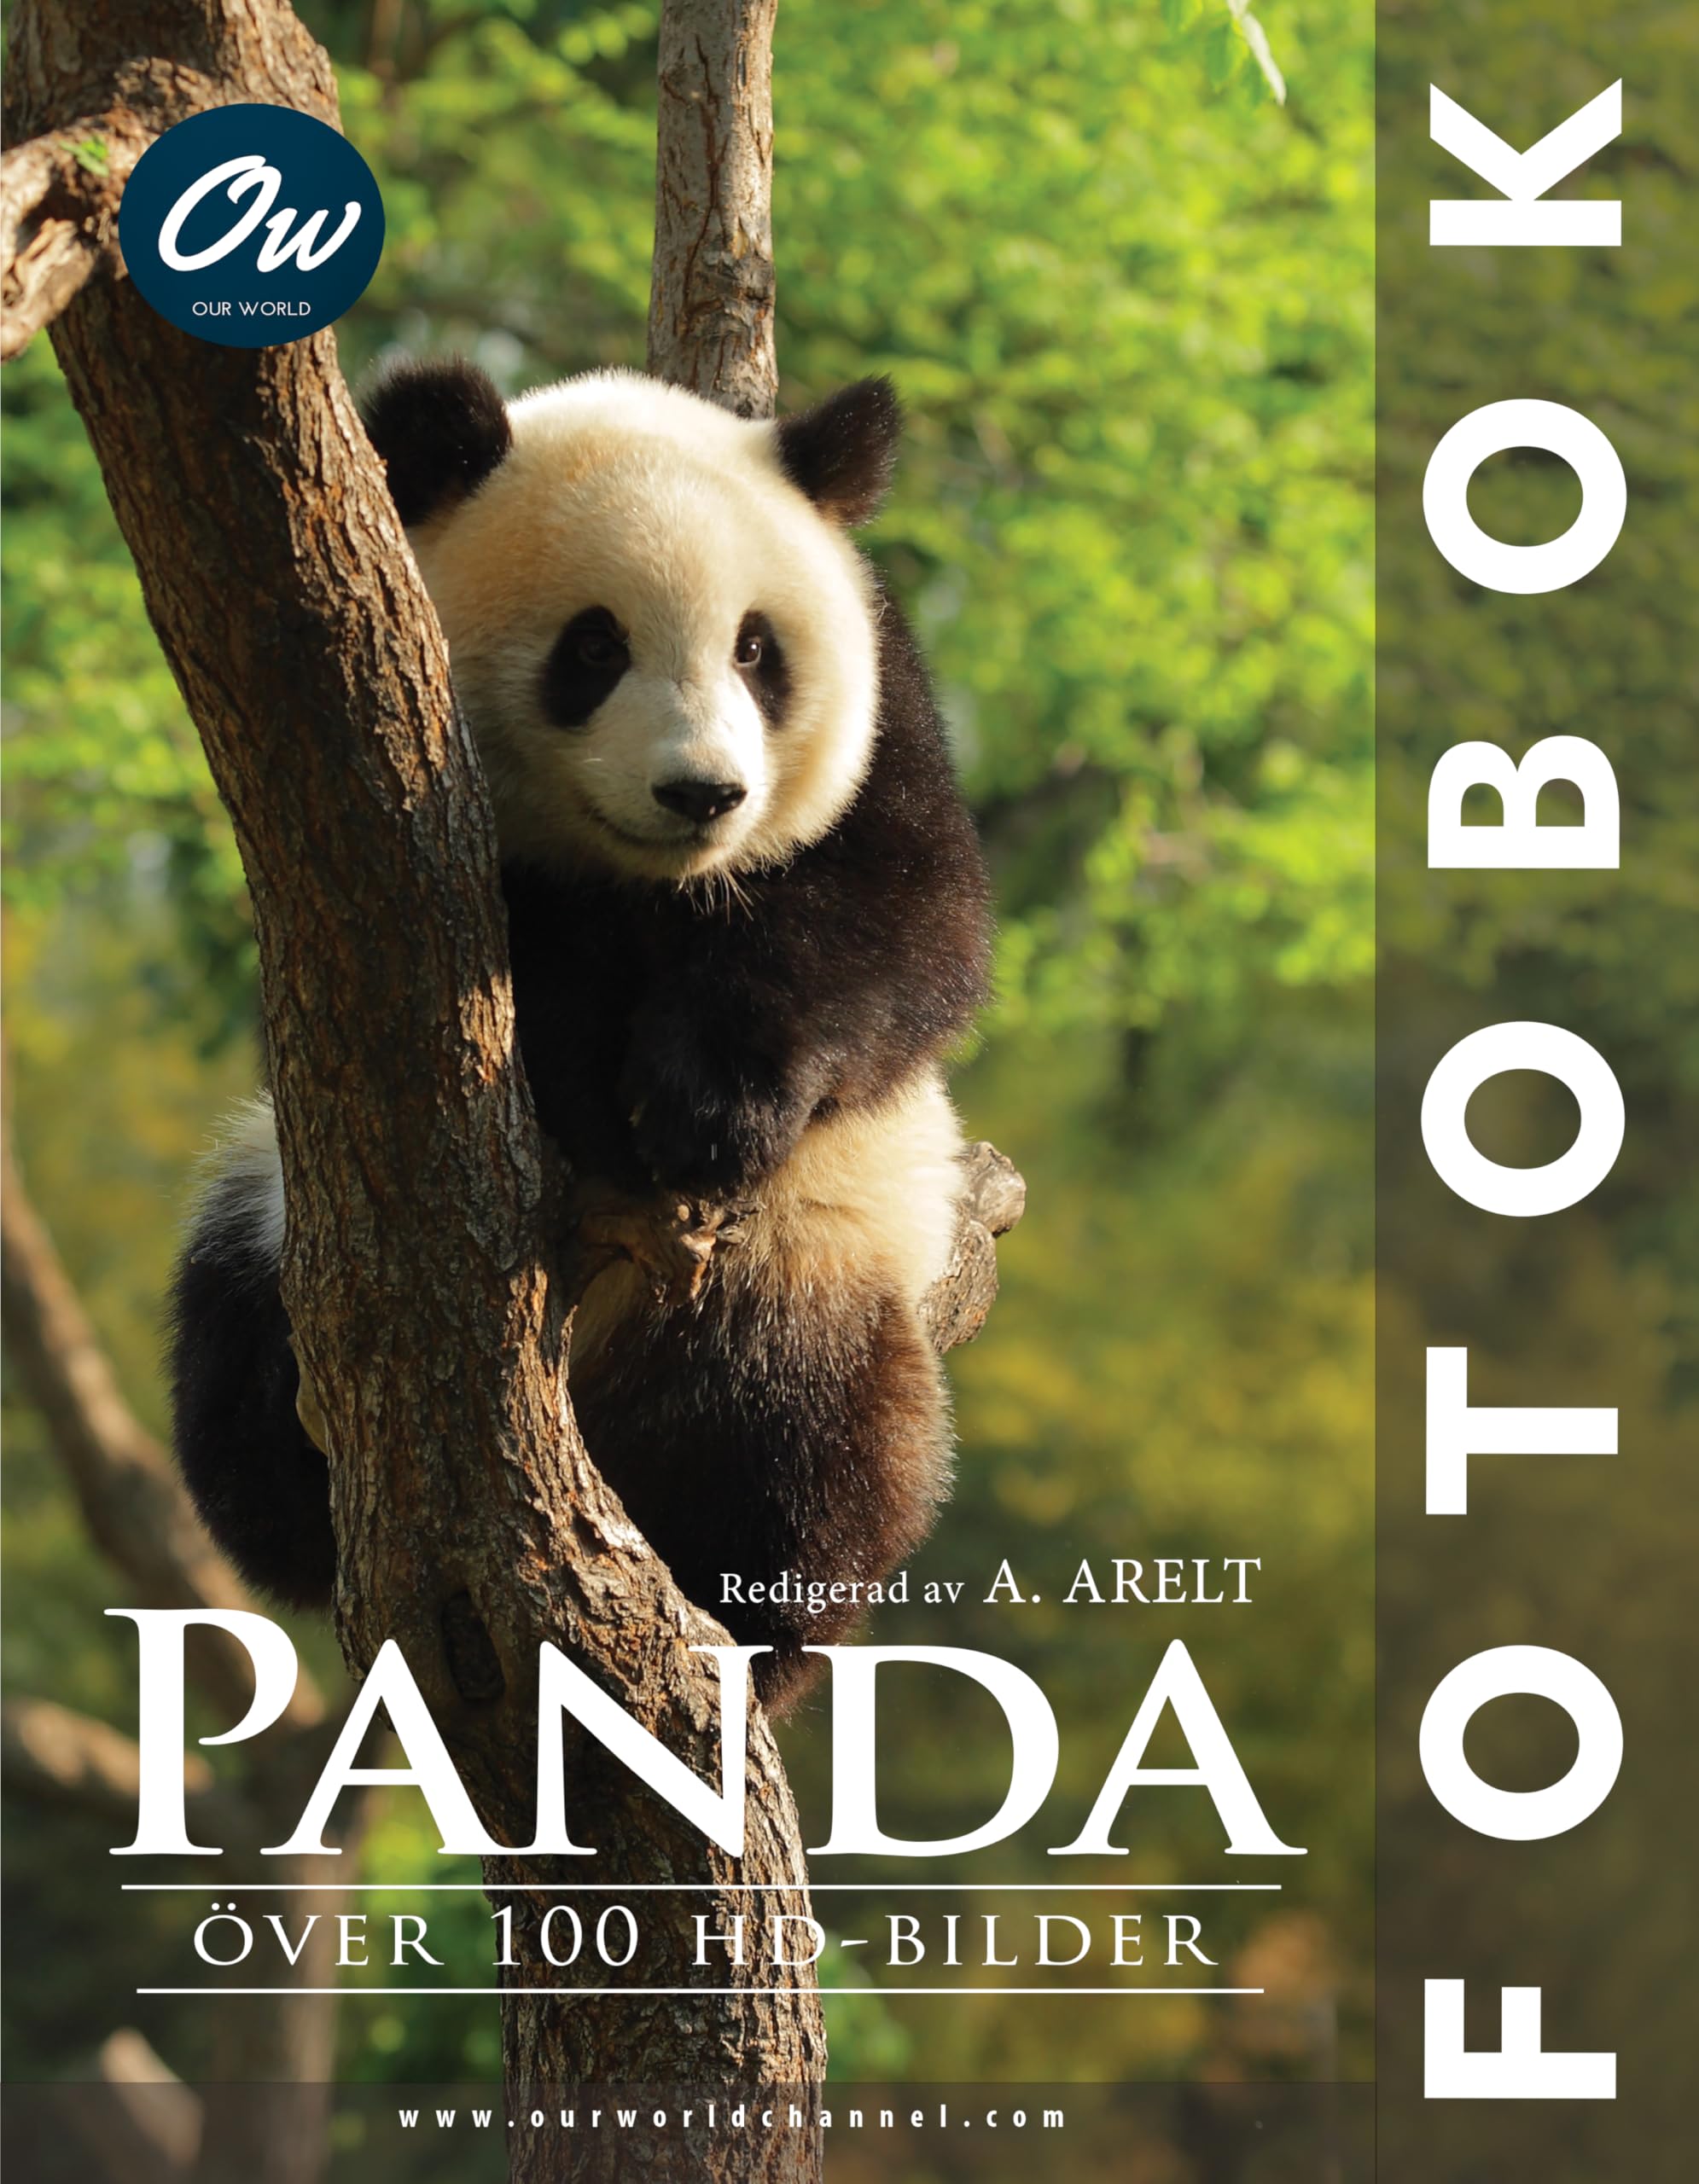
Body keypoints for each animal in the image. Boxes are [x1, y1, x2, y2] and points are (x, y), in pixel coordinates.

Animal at [168, 360, 991, 1712]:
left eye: (756, 649)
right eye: (593, 647)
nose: (702, 793)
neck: (649, 882)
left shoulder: (890, 729)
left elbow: (902, 927)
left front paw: (704, 1107)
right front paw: (603, 1089)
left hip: (807, 1263)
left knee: (804, 1444)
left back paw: (747, 1624)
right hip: (279, 1211)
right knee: (234, 1340)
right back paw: (294, 1488)